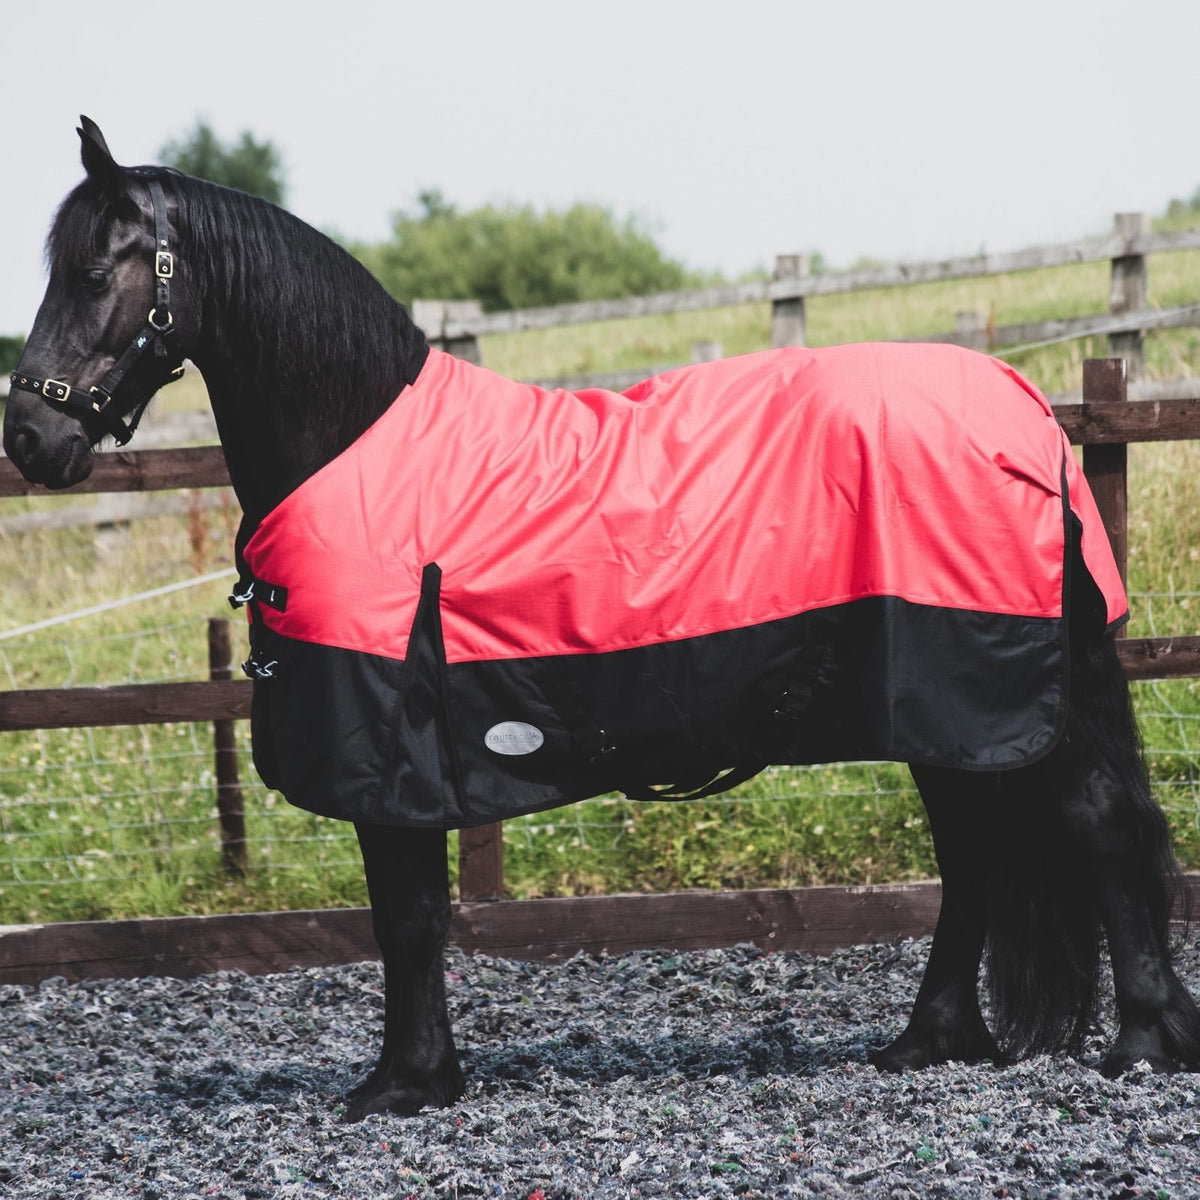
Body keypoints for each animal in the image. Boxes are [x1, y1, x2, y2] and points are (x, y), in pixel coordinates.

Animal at [6, 118, 1200, 1122]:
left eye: (96, 269)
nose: (30, 438)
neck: (359, 449)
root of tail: (1026, 411)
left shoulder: (393, 752)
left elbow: (406, 916)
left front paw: (401, 1087)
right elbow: (415, 917)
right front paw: (421, 1077)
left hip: (982, 691)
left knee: (1095, 820)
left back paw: (1140, 1046)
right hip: (944, 712)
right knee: (976, 855)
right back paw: (930, 1040)